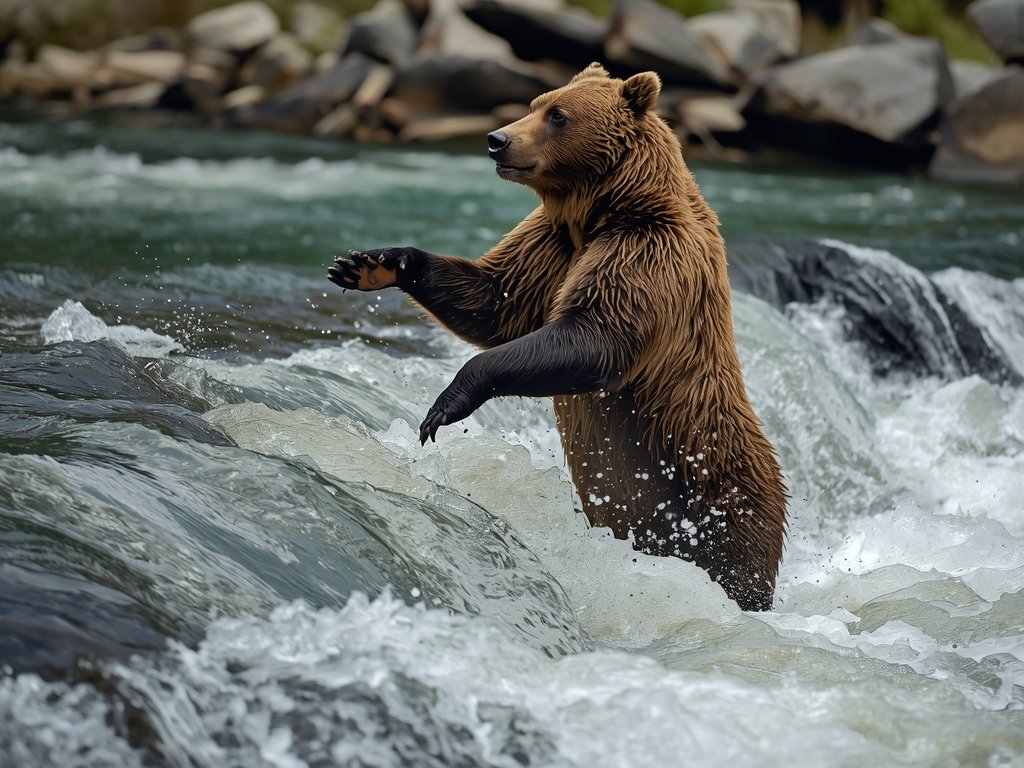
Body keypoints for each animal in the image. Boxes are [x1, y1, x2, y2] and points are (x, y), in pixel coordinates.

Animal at [328, 63, 788, 611]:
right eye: (535, 102)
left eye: (558, 115)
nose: (497, 140)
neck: (601, 210)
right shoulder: (552, 245)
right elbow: (494, 299)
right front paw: (371, 263)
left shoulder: (646, 253)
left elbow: (594, 339)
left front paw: (445, 404)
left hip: (712, 491)